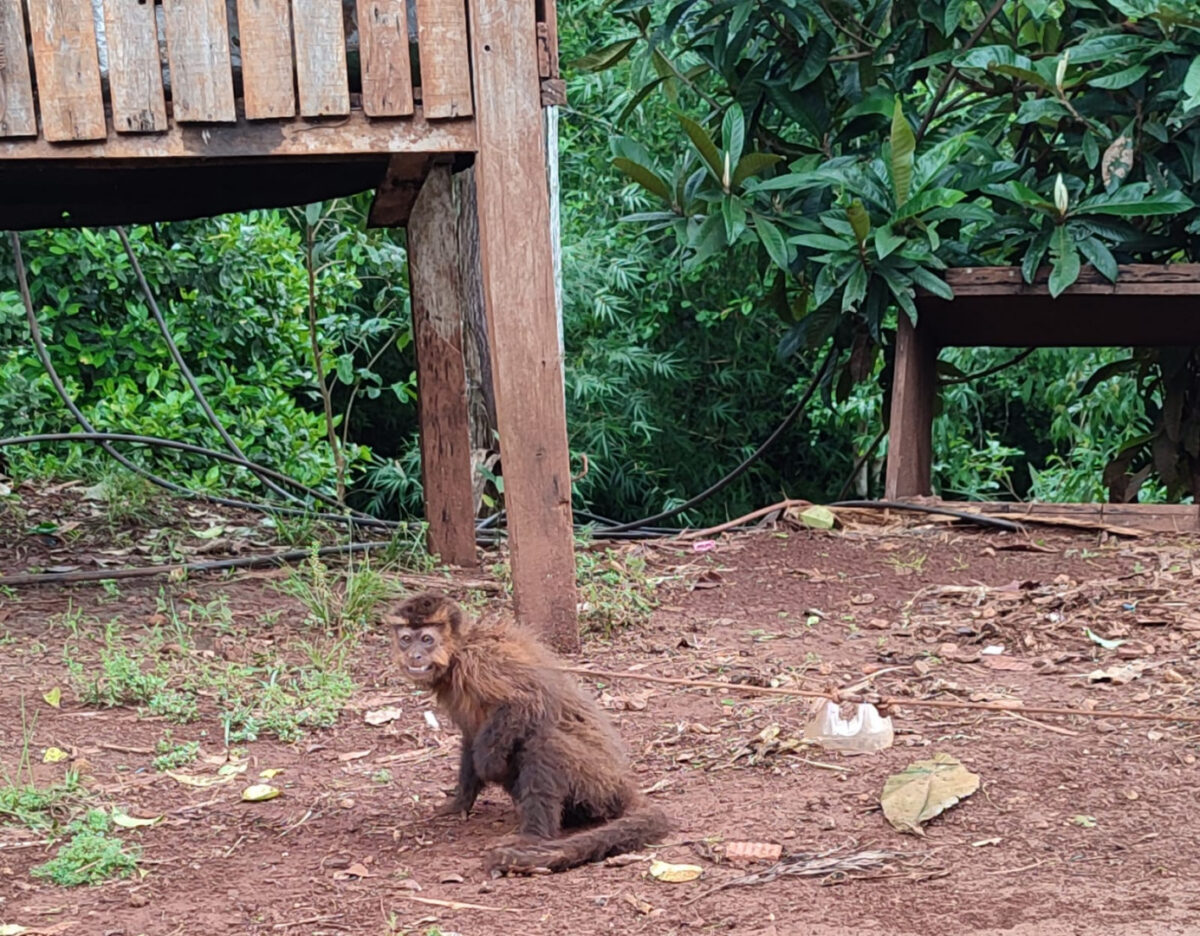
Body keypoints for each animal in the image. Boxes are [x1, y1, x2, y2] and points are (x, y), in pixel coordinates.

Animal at [388, 595, 672, 873]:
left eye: (427, 639)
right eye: (406, 639)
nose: (414, 655)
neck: (458, 652)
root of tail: (623, 783)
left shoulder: (481, 660)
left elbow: (527, 700)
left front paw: (488, 765)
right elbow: (471, 736)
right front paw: (460, 802)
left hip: (598, 784)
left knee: (544, 743)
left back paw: (533, 837)